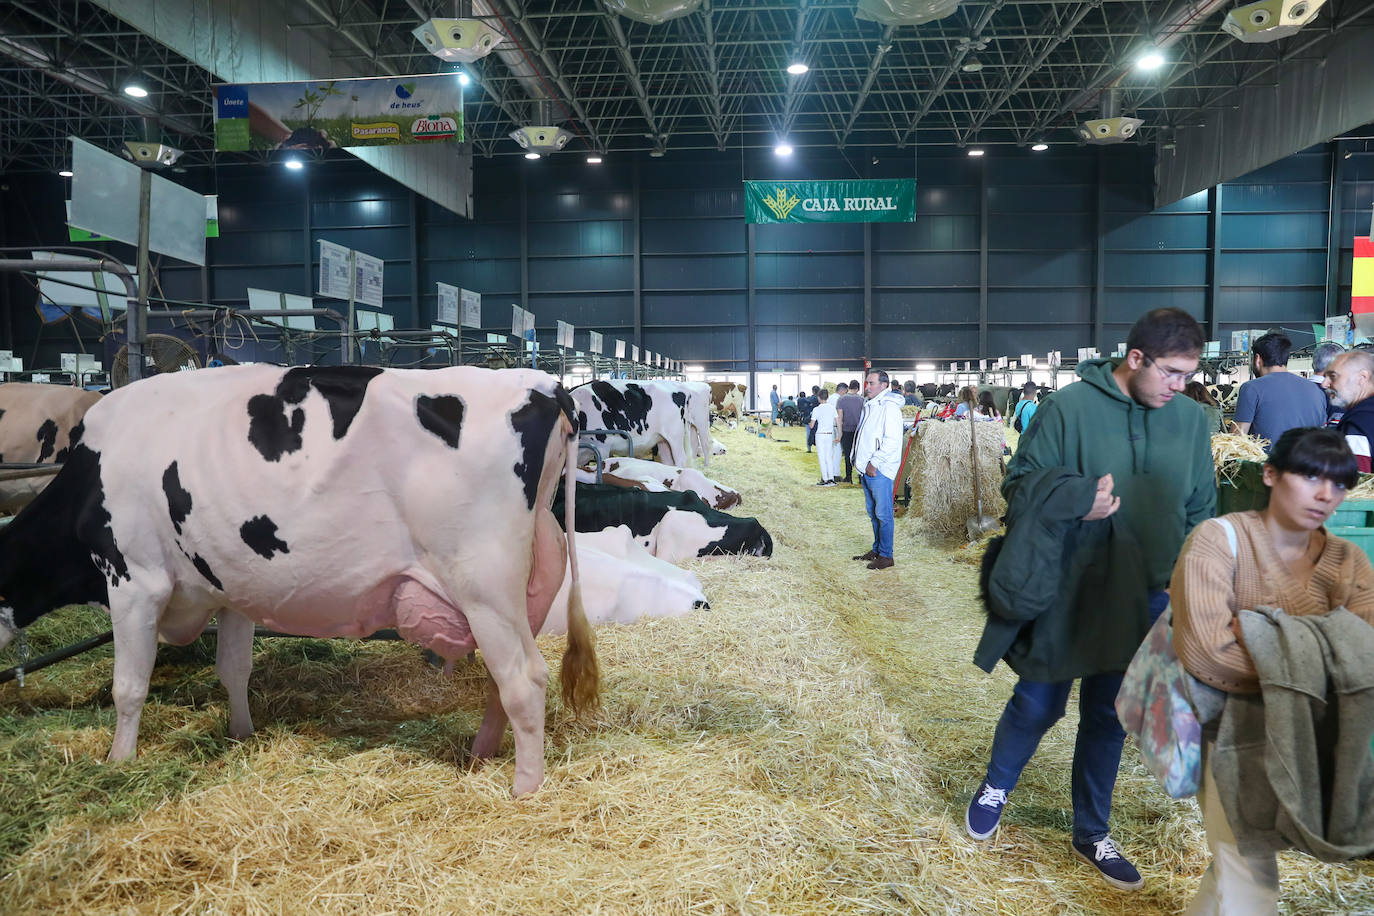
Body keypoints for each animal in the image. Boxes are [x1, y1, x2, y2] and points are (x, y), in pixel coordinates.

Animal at [1, 365, 601, 796]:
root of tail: (546, 386)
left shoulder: (134, 579)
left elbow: (129, 686)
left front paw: (118, 761)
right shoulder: (231, 586)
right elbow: (233, 669)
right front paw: (241, 733)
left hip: (483, 585)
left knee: (523, 679)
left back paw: (525, 789)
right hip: (522, 591)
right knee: (507, 684)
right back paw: (482, 753)